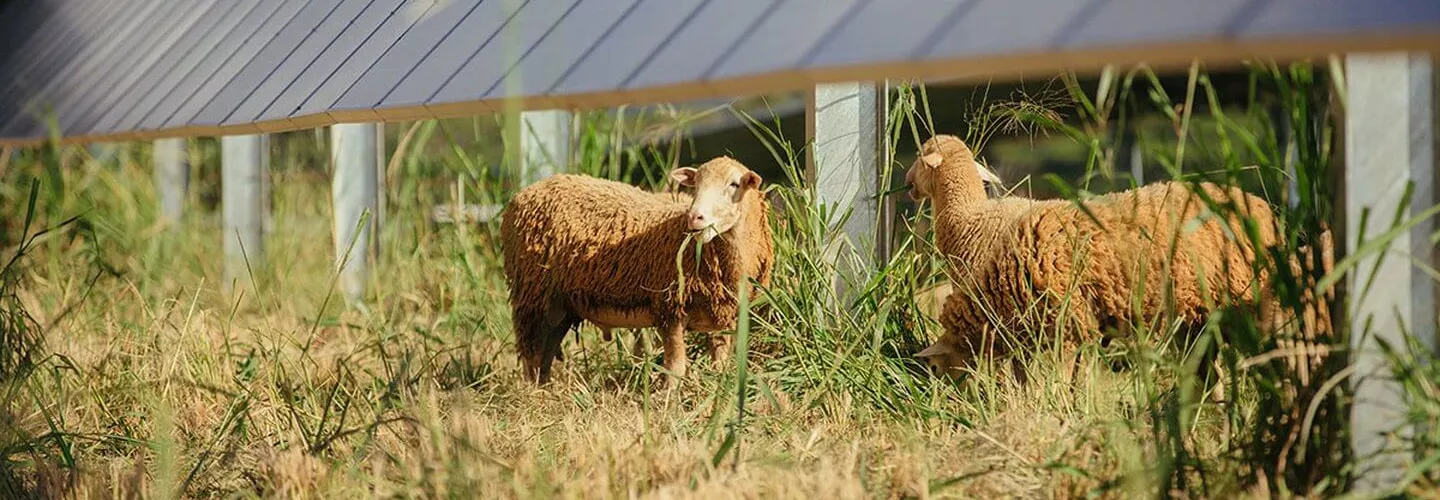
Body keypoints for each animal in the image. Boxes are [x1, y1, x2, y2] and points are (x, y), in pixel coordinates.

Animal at [501, 156, 774, 384]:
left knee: (545, 354)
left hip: (560, 306)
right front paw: (668, 404)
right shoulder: (670, 308)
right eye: (695, 184)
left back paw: (546, 390)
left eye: (734, 184)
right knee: (531, 355)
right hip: (532, 295)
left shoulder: (723, 315)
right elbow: (675, 368)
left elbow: (720, 364)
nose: (695, 217)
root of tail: (524, 193)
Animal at [906, 134, 1293, 378]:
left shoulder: (1059, 324)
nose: (907, 183)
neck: (970, 218)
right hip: (1203, 315)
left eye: (920, 159)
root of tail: (1265, 210)